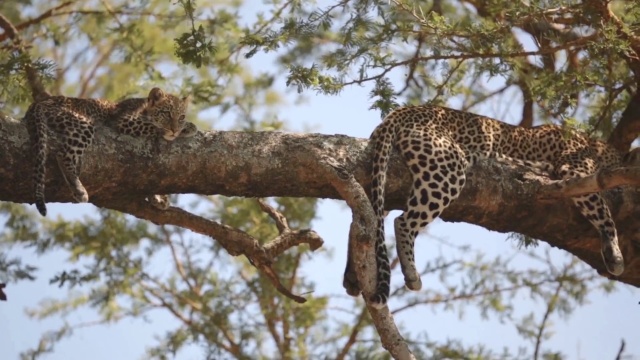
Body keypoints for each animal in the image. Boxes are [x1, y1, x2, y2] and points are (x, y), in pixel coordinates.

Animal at [24, 87, 198, 217]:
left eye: (181, 116)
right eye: (167, 113)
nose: (175, 130)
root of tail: (38, 102)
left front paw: (158, 199)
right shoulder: (125, 121)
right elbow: (154, 127)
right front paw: (189, 128)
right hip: (83, 124)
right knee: (63, 155)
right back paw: (79, 190)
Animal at [350, 102, 636, 308]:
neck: (600, 149)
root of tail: (401, 111)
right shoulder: (576, 170)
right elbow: (605, 215)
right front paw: (615, 256)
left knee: (368, 221)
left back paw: (353, 276)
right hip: (448, 168)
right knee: (402, 222)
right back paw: (411, 274)